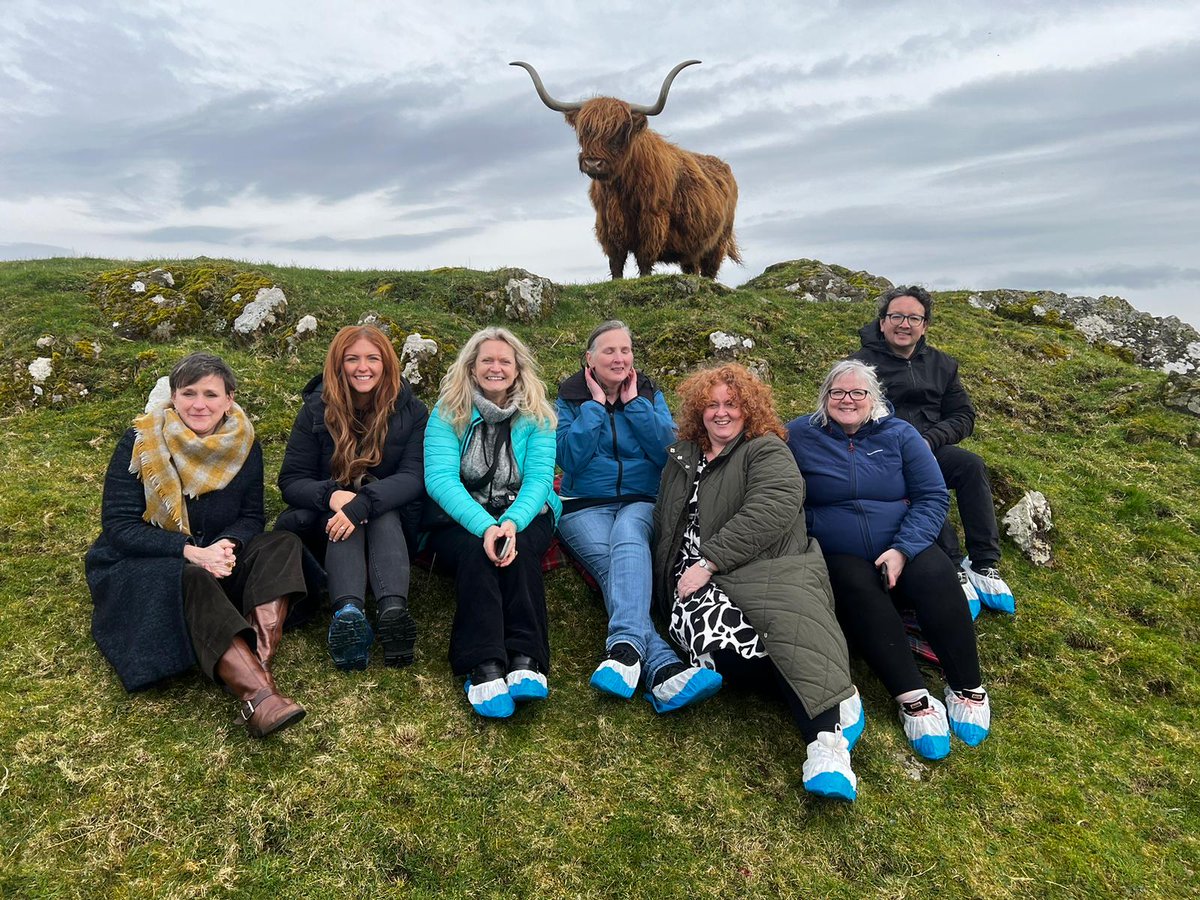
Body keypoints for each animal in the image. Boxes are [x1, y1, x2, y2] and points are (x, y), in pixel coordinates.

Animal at [508, 60, 739, 278]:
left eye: (619, 132)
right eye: (585, 131)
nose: (593, 163)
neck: (621, 190)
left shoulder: (652, 221)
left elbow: (645, 260)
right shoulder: (608, 226)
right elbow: (616, 262)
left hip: (718, 242)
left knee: (710, 271)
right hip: (691, 250)